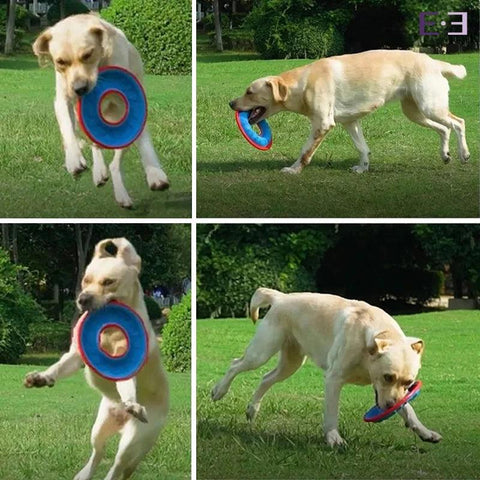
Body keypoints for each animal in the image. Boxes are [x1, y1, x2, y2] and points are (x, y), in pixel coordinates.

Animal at [23, 238, 169, 478]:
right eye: (86, 281)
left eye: (109, 282)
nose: (82, 299)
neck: (109, 333)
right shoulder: (74, 356)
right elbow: (59, 366)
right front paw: (41, 377)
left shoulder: (125, 365)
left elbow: (127, 384)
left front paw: (131, 402)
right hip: (99, 427)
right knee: (98, 452)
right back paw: (84, 473)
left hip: (134, 440)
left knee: (117, 465)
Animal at [32, 14, 170, 206]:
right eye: (60, 62)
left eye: (88, 54)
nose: (80, 89)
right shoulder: (63, 98)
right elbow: (67, 129)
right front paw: (73, 159)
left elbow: (144, 141)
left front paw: (155, 173)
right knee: (94, 144)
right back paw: (98, 171)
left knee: (115, 163)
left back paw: (122, 193)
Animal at [214, 286, 442, 448]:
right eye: (387, 377)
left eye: (409, 382)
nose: (389, 408)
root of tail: (281, 297)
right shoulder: (334, 379)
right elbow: (332, 412)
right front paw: (334, 438)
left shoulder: (385, 392)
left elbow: (409, 409)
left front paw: (425, 432)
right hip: (261, 352)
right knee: (235, 365)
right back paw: (219, 391)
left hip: (291, 363)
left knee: (265, 378)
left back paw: (252, 410)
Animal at [229, 49, 468, 173]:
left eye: (249, 92)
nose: (231, 103)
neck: (303, 84)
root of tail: (434, 61)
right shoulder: (350, 122)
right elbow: (362, 148)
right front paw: (363, 168)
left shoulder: (322, 124)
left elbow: (305, 151)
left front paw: (294, 169)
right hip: (416, 112)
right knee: (444, 129)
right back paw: (445, 155)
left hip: (430, 106)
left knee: (458, 123)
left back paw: (463, 154)